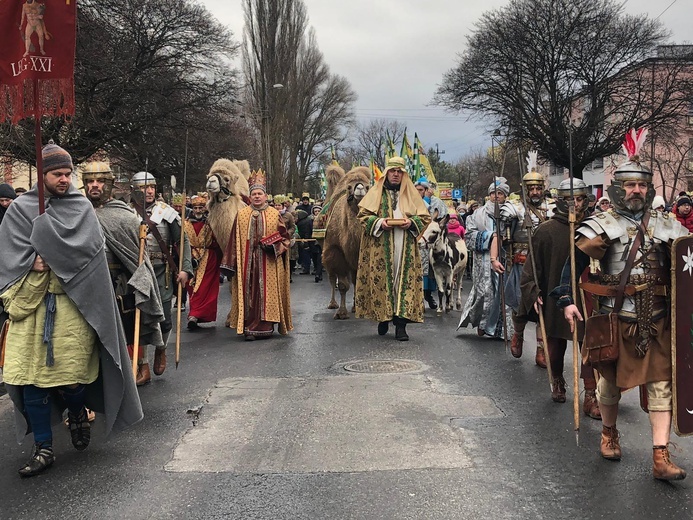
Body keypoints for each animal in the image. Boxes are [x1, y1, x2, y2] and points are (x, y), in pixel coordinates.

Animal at [322, 167, 370, 318]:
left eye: (368, 186)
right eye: (349, 187)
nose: (360, 188)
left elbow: (357, 282)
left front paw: (357, 308)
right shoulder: (335, 252)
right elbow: (343, 285)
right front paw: (341, 312)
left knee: (354, 280)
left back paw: (355, 307)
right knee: (332, 279)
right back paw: (332, 304)